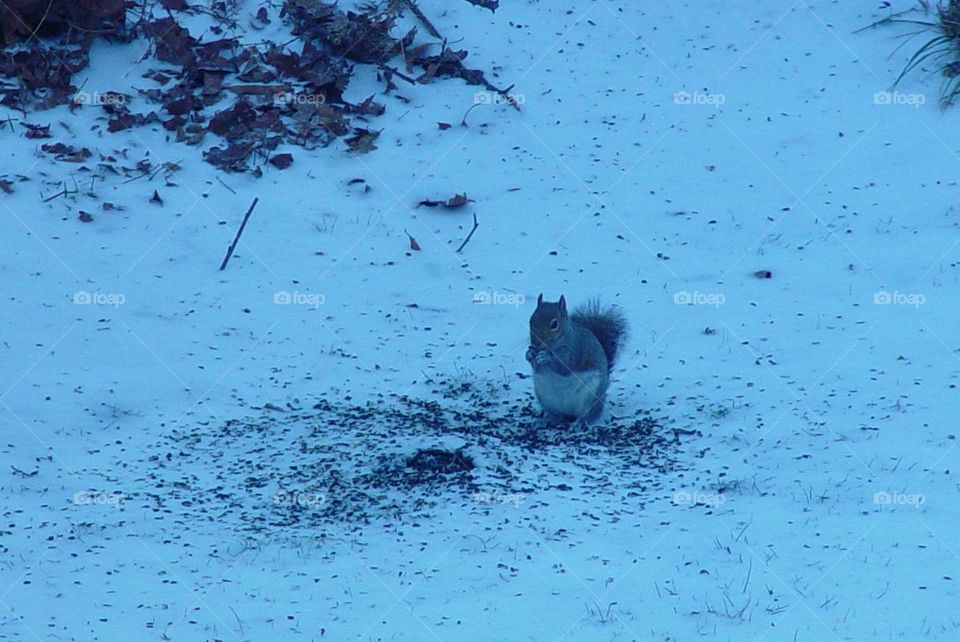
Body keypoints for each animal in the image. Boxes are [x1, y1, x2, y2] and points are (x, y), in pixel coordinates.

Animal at [525, 294, 629, 425]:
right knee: (558, 414)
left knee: (588, 415)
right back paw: (550, 418)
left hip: (591, 396)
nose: (535, 344)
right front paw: (529, 354)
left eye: (554, 324)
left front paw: (546, 357)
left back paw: (580, 423)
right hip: (544, 397)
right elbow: (539, 369)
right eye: (531, 320)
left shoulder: (577, 350)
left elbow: (565, 366)